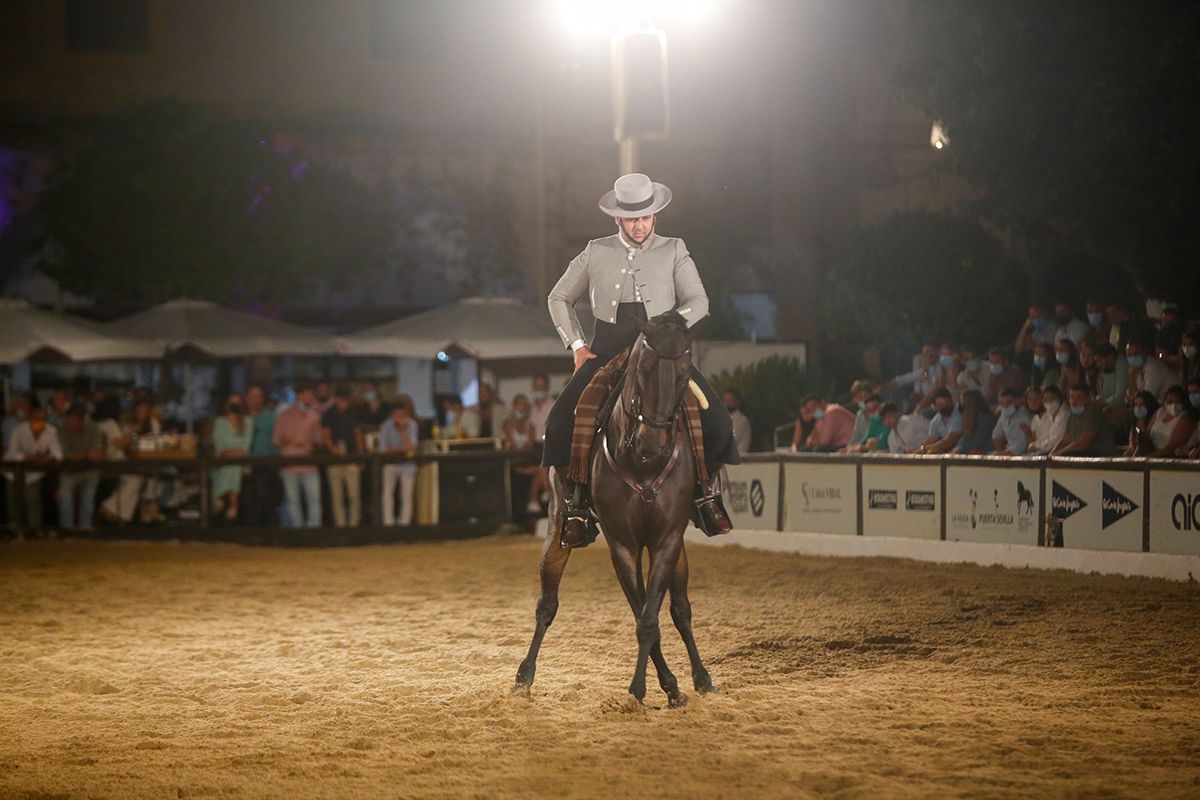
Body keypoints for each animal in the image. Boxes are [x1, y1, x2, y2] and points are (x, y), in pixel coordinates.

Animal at [516, 311, 710, 705]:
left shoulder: (667, 539)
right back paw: (524, 675)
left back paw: (701, 677)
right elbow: (643, 616)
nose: (652, 444)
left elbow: (652, 614)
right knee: (547, 603)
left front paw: (668, 686)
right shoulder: (623, 544)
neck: (643, 463)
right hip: (558, 528)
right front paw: (645, 689)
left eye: (684, 373)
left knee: (681, 609)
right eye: (644, 368)